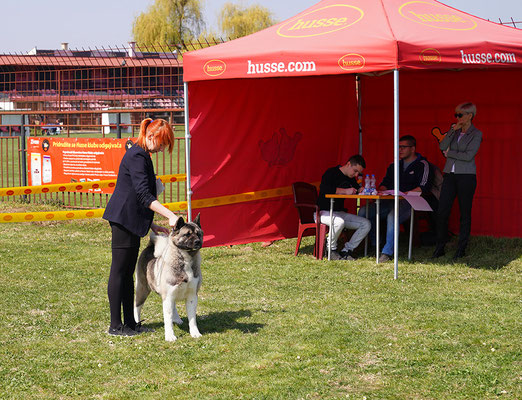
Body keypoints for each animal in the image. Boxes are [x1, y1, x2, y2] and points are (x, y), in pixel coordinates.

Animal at [134, 214, 203, 342]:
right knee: (137, 306)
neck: (186, 260)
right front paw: (170, 335)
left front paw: (195, 333)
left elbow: (192, 319)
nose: (197, 241)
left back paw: (177, 319)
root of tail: (150, 247)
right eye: (187, 234)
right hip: (142, 289)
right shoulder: (168, 296)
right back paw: (136, 322)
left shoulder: (192, 296)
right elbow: (168, 320)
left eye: (199, 234)